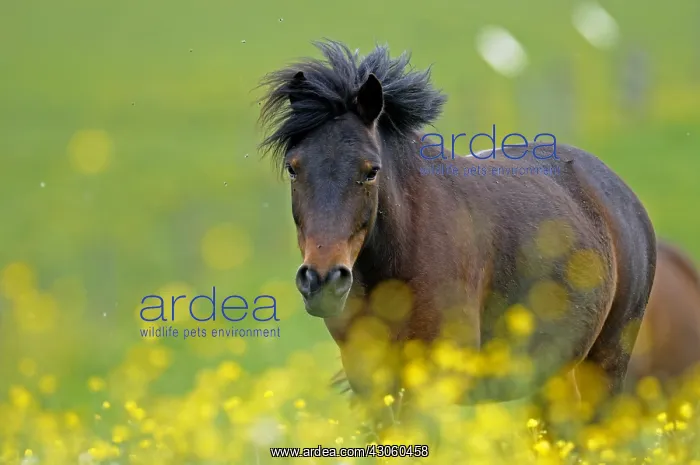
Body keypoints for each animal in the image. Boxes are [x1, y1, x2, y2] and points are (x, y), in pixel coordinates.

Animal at [257, 39, 657, 436]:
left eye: (371, 171)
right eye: (293, 168)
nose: (322, 279)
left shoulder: (432, 380)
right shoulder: (372, 382)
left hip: (604, 366)